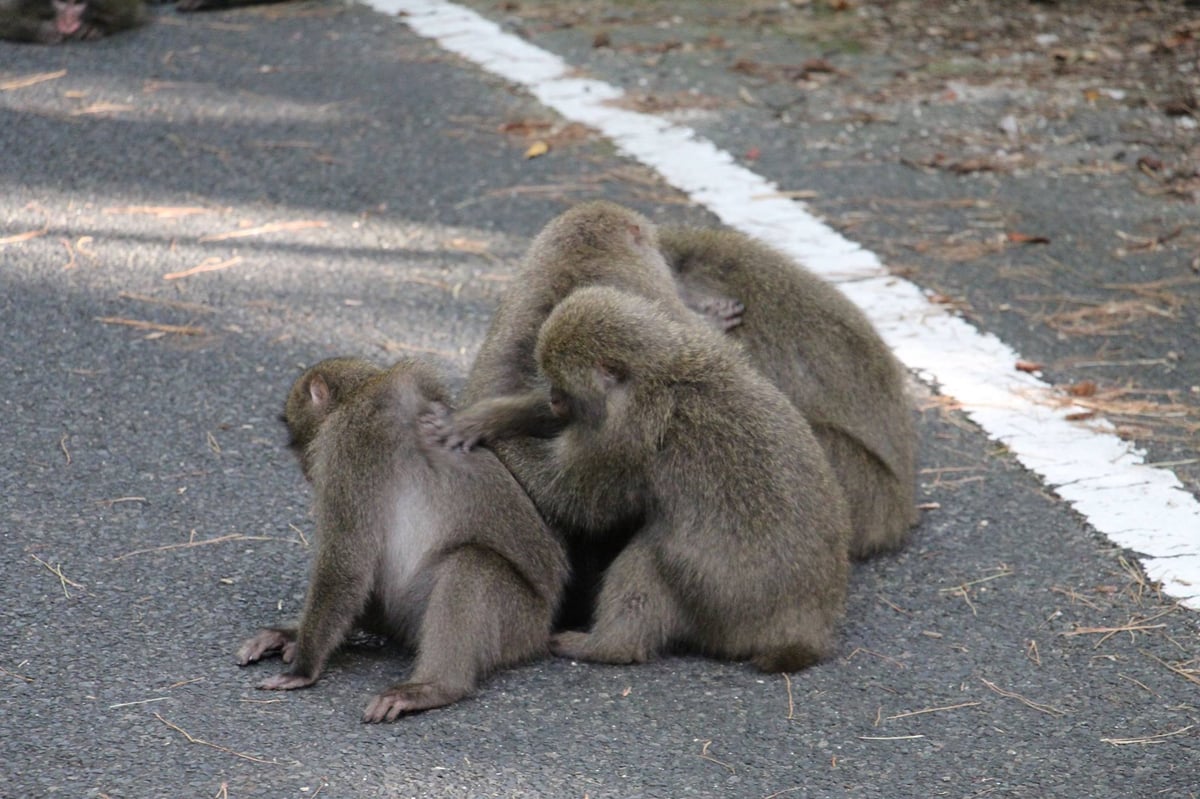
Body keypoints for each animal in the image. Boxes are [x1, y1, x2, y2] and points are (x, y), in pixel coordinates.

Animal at [0, 0, 144, 42]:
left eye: (77, 4)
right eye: (61, 2)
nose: (68, 22)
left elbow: (133, 14)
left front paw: (93, 27)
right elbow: (4, 16)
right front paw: (43, 31)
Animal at [240, 357, 571, 719]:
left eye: (296, 437)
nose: (304, 468)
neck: (363, 391)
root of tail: (544, 627)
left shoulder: (347, 444)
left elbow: (346, 569)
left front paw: (302, 668)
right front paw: (294, 636)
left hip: (519, 622)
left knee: (473, 564)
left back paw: (435, 687)